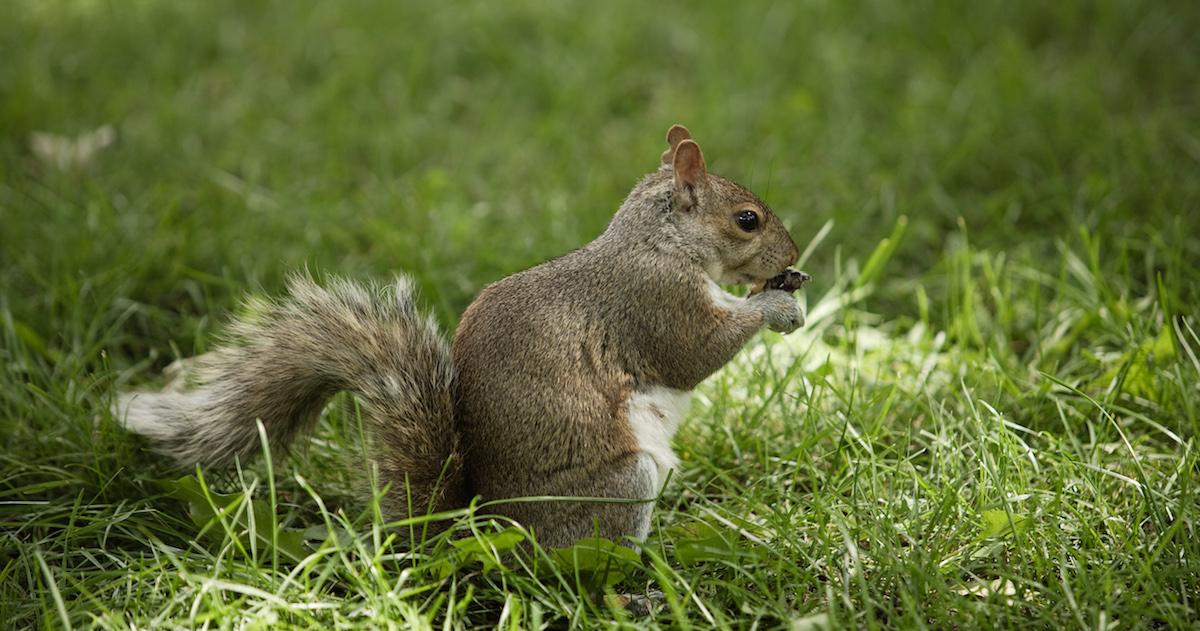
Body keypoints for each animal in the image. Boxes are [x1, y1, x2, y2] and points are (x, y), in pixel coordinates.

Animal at [114, 125, 806, 551]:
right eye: (747, 220)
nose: (793, 256)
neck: (658, 242)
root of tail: (479, 532)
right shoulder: (653, 304)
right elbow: (693, 355)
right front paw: (776, 304)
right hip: (622, 485)